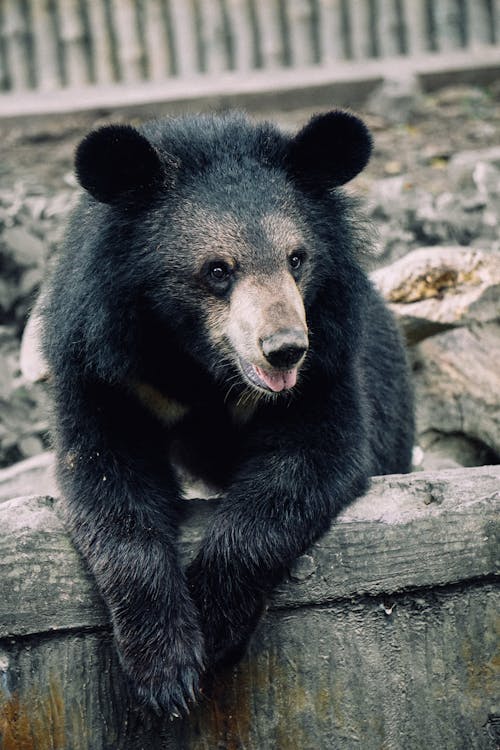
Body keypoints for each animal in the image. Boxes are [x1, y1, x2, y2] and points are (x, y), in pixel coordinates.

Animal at [41, 110, 412, 716]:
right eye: (217, 271)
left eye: (296, 259)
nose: (285, 349)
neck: (201, 367)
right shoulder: (103, 364)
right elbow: (108, 478)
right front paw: (166, 670)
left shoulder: (329, 355)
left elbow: (310, 460)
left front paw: (213, 631)